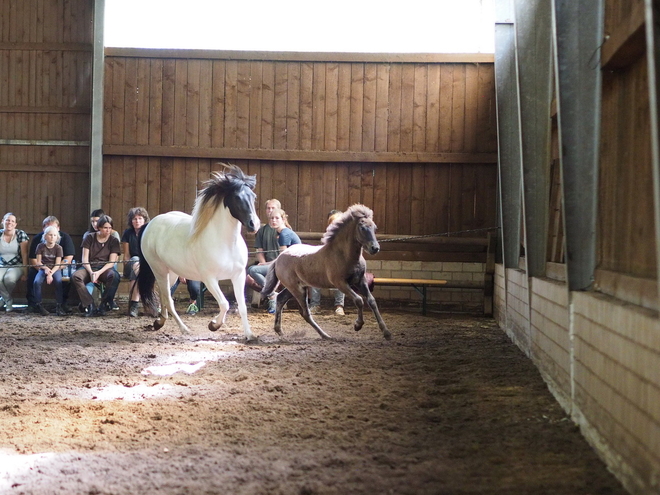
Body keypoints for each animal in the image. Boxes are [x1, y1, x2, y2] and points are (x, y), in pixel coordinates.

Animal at [137, 165, 260, 340]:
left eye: (253, 197)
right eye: (236, 197)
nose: (253, 224)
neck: (226, 244)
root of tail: (150, 224)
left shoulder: (238, 276)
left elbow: (242, 306)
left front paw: (249, 335)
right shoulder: (209, 279)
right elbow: (225, 303)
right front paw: (214, 325)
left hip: (172, 273)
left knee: (163, 296)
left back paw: (159, 322)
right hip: (158, 270)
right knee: (169, 300)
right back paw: (184, 329)